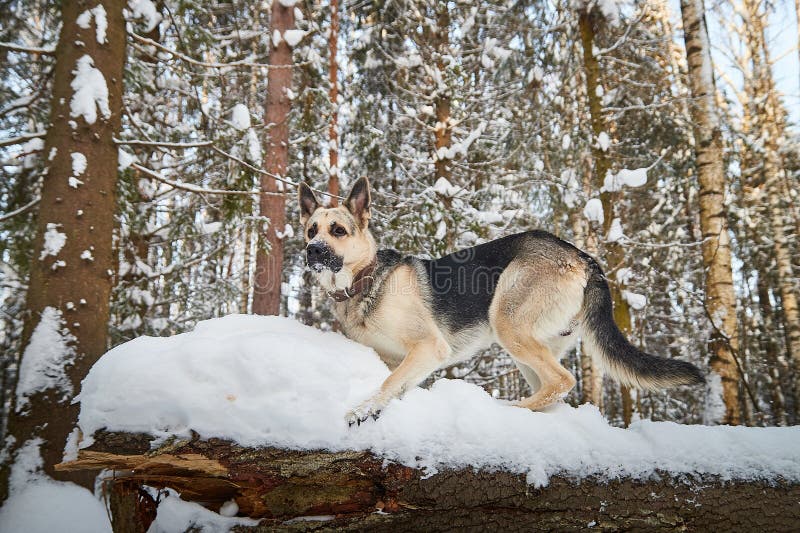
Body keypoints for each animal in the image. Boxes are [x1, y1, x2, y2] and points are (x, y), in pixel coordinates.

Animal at [296, 178, 704, 424]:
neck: (362, 282)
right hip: (532, 345)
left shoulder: (429, 348)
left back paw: (511, 408)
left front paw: (362, 410)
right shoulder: (405, 359)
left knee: (563, 379)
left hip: (507, 321)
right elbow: (397, 383)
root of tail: (582, 256)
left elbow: (387, 382)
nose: (312, 250)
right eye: (311, 230)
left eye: (338, 230)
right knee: (554, 389)